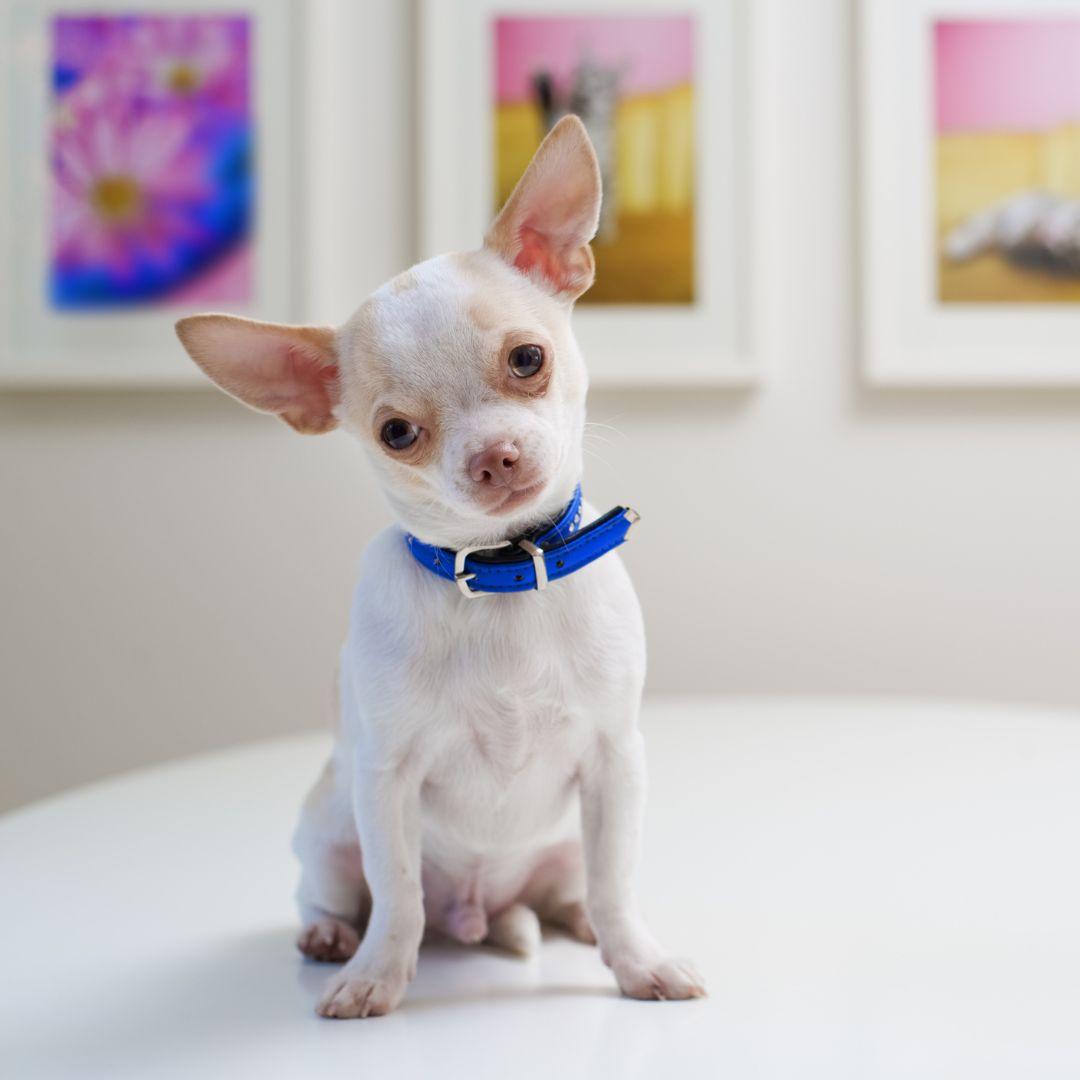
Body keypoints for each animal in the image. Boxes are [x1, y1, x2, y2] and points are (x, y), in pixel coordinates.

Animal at [173, 118, 704, 1019]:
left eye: (528, 359)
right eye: (396, 434)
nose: (494, 458)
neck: (502, 571)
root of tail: (484, 909)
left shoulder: (612, 763)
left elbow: (616, 883)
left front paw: (638, 962)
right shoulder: (387, 782)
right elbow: (398, 894)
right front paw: (378, 977)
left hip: (561, 841)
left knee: (569, 891)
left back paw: (572, 923)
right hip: (329, 822)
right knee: (339, 892)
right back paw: (330, 938)